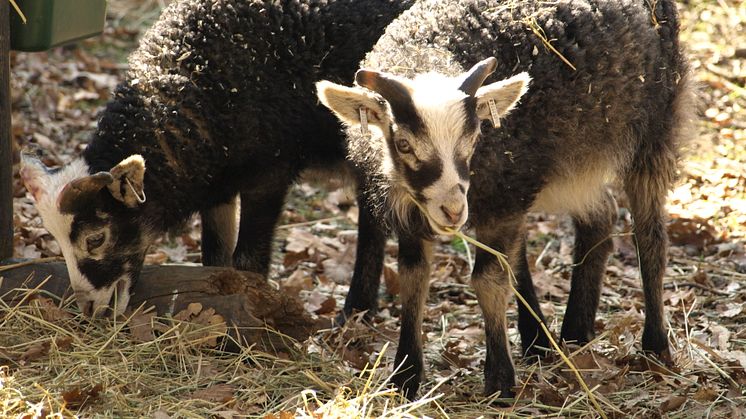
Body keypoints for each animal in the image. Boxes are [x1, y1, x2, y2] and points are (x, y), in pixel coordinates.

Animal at [18, 0, 412, 316]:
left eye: (95, 239)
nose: (86, 309)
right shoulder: (216, 181)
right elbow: (215, 255)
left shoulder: (270, 172)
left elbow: (247, 259)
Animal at [318, 0, 692, 398]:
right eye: (403, 143)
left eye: (473, 137)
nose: (453, 211)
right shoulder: (411, 213)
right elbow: (413, 276)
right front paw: (405, 377)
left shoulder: (504, 202)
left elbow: (489, 279)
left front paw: (500, 380)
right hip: (578, 159)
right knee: (601, 216)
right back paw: (575, 334)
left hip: (657, 123)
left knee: (650, 237)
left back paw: (655, 346)